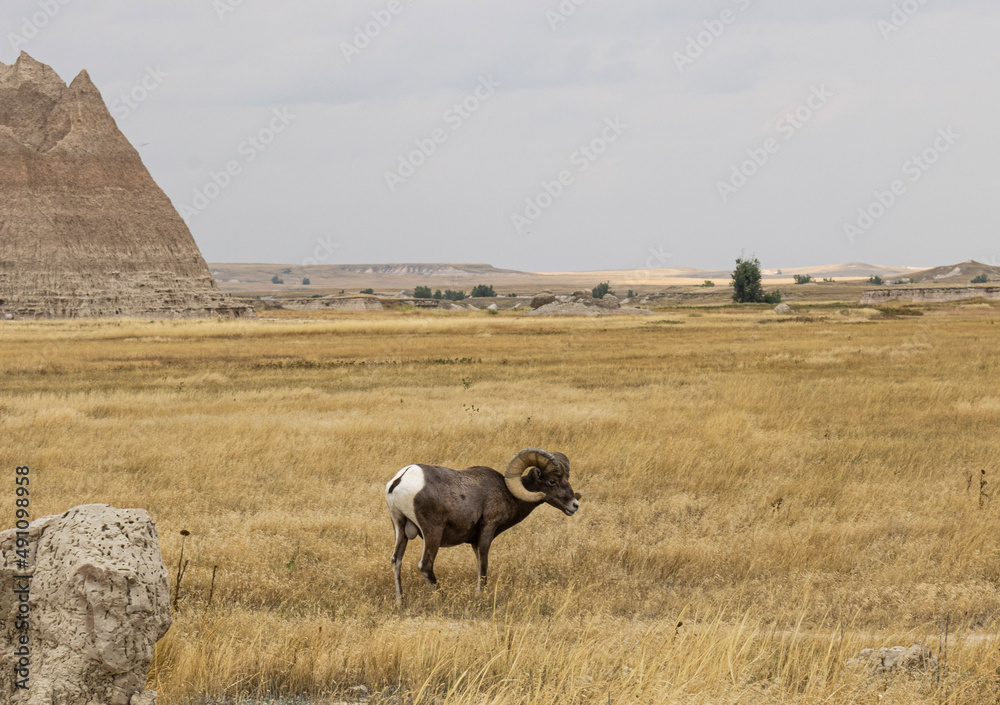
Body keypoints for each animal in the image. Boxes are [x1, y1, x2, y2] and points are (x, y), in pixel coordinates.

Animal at [384, 447, 579, 602]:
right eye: (552, 481)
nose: (574, 505)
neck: (507, 493)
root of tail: (400, 479)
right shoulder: (487, 530)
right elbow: (483, 565)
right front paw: (479, 595)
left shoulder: (474, 542)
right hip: (432, 533)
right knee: (425, 565)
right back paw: (443, 598)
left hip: (399, 528)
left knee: (396, 560)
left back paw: (400, 600)